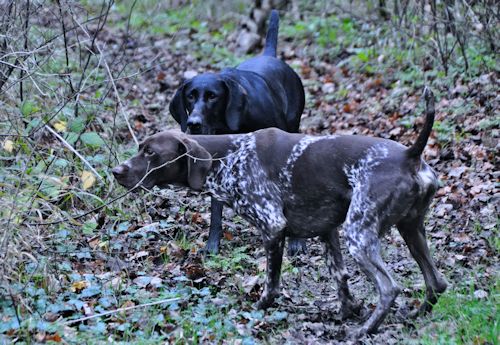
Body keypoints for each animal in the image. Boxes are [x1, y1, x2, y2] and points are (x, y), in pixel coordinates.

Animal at [170, 9, 306, 254]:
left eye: (212, 96)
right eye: (190, 96)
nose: (193, 123)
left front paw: (296, 240)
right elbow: (216, 210)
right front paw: (212, 244)